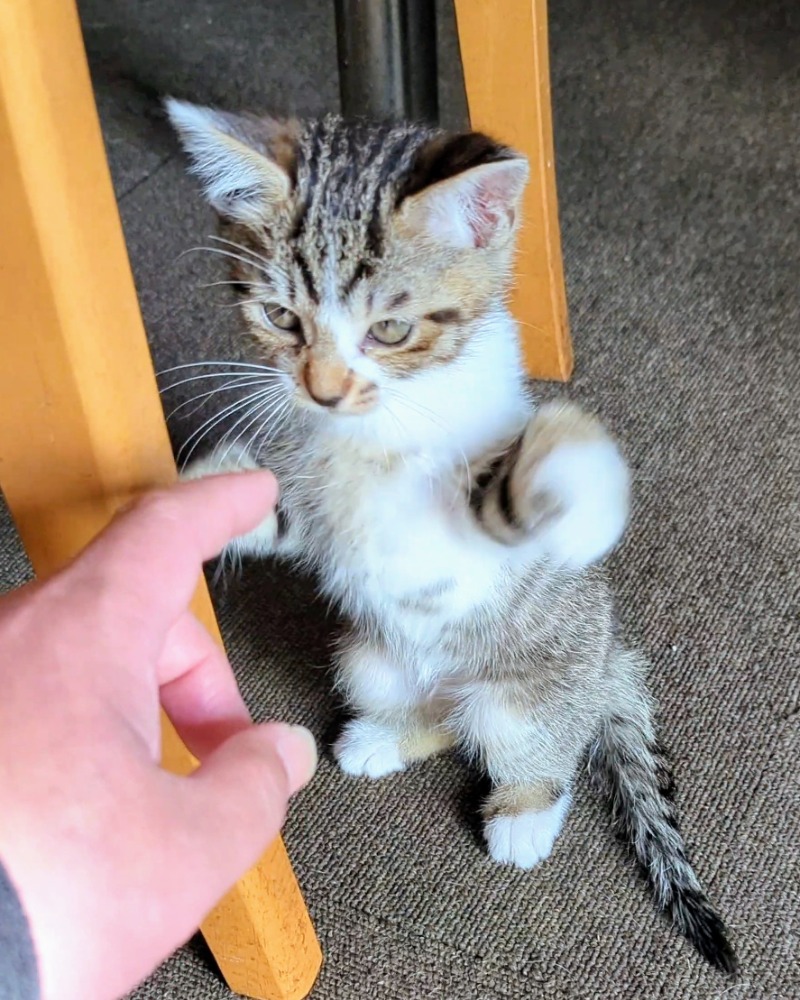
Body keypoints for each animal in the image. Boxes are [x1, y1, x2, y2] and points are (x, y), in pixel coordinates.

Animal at [166, 97, 736, 972]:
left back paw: (525, 815)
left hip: (526, 693)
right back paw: (383, 739)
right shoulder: (305, 492)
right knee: (440, 718)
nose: (324, 391)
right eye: (280, 317)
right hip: (370, 661)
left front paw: (581, 482)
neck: (375, 428)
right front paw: (167, 499)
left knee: (537, 743)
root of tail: (608, 663)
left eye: (392, 330)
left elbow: (524, 491)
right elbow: (265, 505)